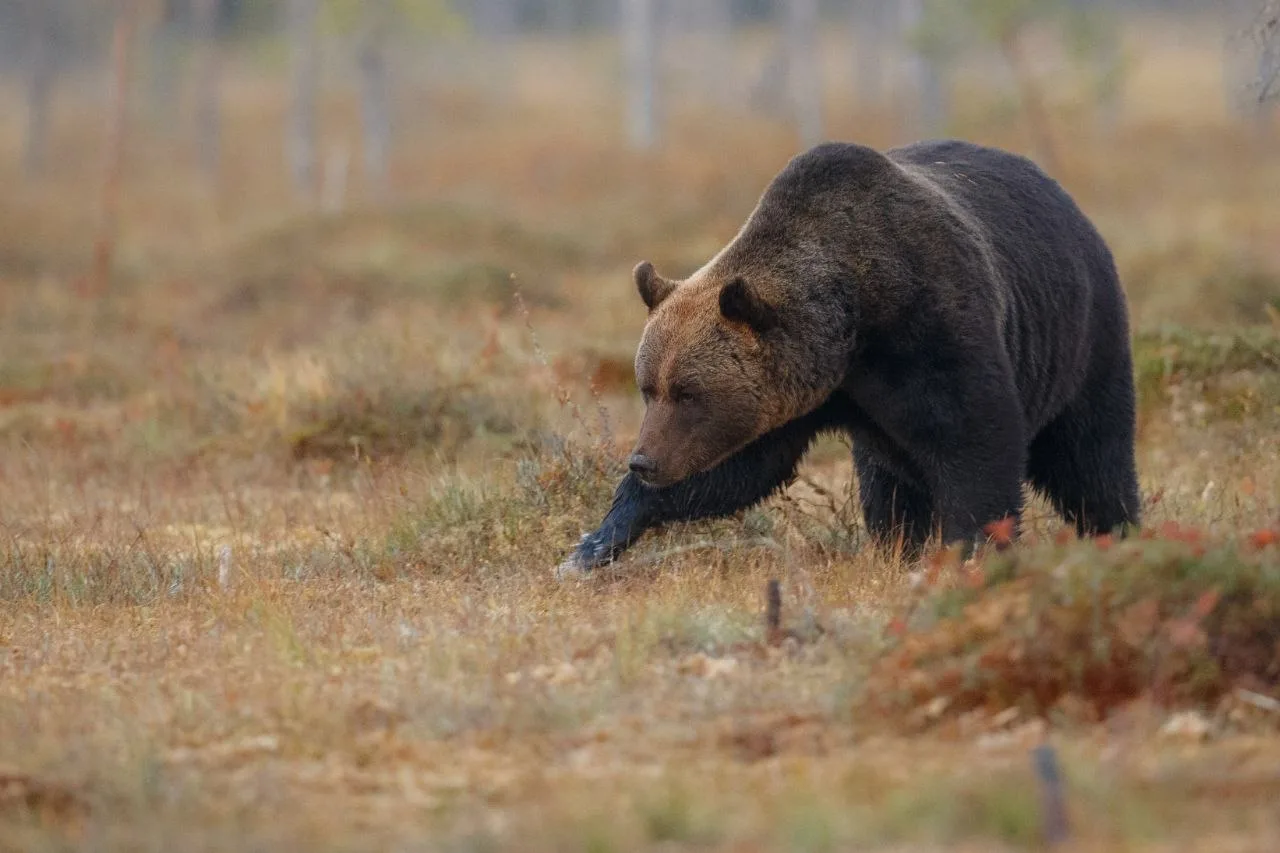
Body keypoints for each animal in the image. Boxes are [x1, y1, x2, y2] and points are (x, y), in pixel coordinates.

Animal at [556, 138, 1141, 577]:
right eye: (647, 387)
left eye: (688, 392)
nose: (643, 460)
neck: (853, 325)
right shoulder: (801, 396)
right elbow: (736, 470)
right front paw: (592, 544)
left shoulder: (934, 330)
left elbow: (977, 443)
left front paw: (971, 551)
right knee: (887, 483)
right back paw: (895, 544)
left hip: (1084, 337)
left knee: (1092, 455)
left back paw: (1117, 530)